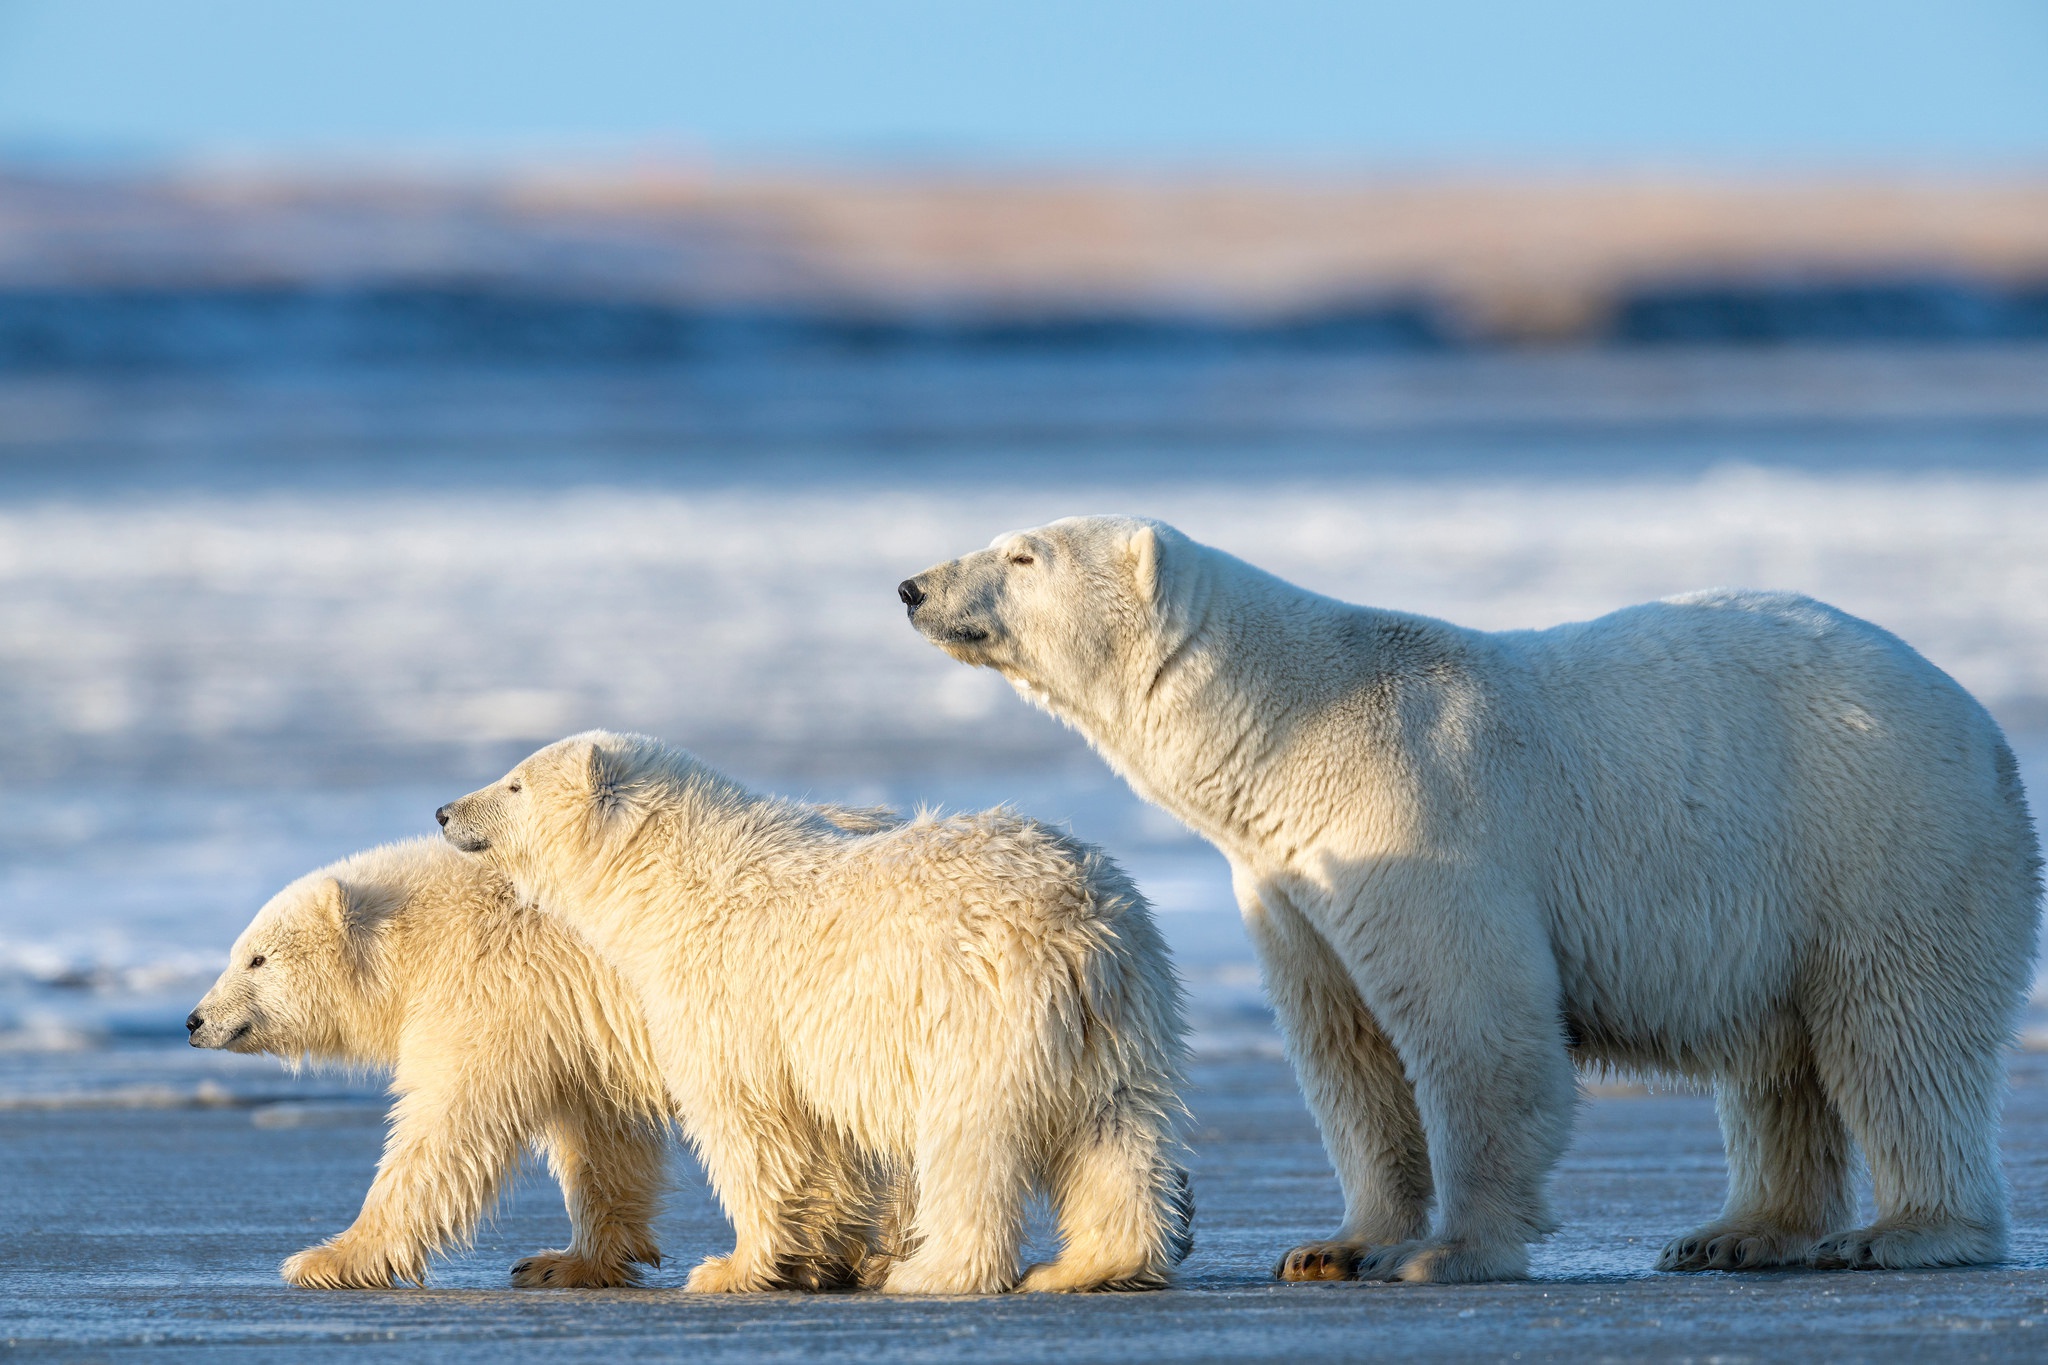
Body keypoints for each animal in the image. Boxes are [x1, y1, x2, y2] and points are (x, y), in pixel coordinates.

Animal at [440, 732, 1196, 1301]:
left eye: (514, 784)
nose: (446, 810)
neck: (677, 880)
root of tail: (1082, 926)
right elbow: (824, 1143)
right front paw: (814, 1259)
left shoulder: (726, 990)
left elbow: (750, 1128)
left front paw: (730, 1267)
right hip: (1125, 1019)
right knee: (1115, 1134)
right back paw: (1089, 1265)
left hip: (982, 1012)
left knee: (969, 1140)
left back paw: (933, 1270)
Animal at [905, 517, 2039, 1285]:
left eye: (1024, 555)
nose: (913, 585)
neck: (1289, 728)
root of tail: (1980, 723)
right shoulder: (1288, 879)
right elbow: (1346, 1049)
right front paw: (1334, 1246)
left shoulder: (1414, 809)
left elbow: (1472, 1021)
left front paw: (1446, 1251)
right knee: (1777, 1062)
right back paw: (1734, 1232)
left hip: (1876, 838)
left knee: (1897, 1033)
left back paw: (1903, 1232)